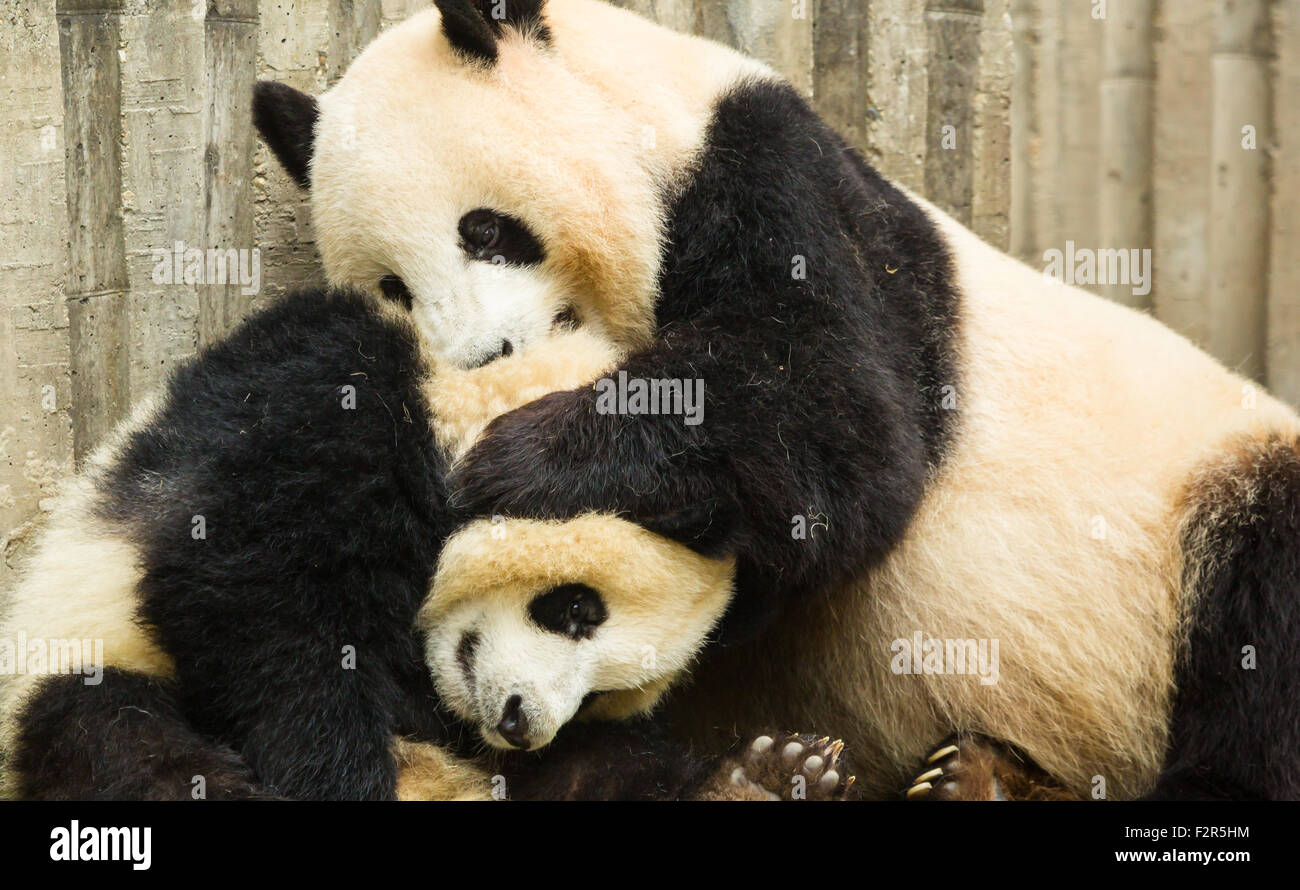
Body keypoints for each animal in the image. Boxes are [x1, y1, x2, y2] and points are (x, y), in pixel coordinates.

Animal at [0, 287, 855, 801]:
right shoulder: (316, 399)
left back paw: (763, 777)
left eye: (603, 694)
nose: (520, 722)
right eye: (576, 609)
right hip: (80, 661)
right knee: (123, 742)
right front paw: (339, 777)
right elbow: (252, 601)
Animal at [249, 0, 1300, 801]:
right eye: (392, 286)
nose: (485, 357)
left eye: (487, 229)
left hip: (1200, 515)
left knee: (1260, 633)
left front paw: (509, 456)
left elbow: (838, 433)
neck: (655, 105)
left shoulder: (779, 184)